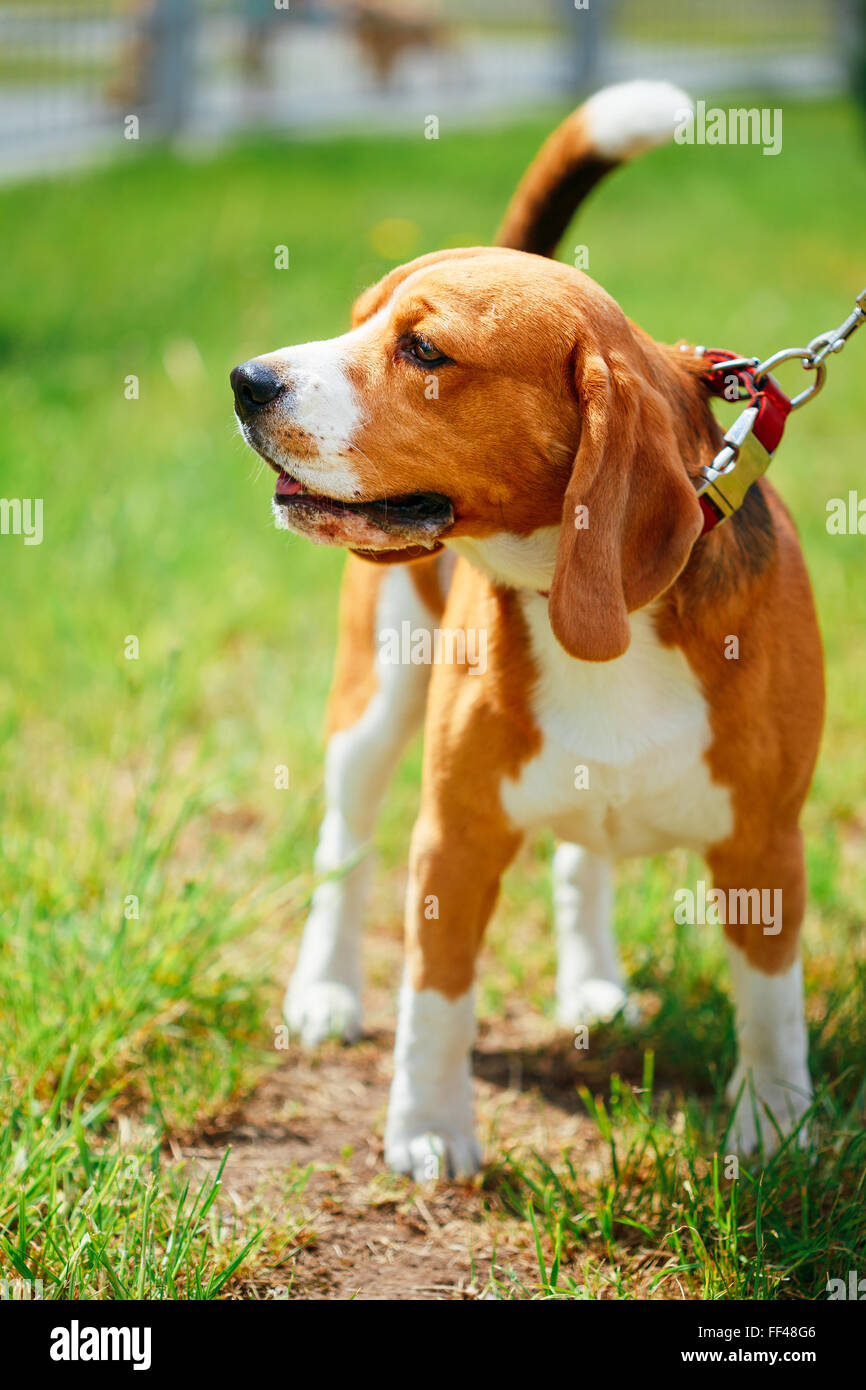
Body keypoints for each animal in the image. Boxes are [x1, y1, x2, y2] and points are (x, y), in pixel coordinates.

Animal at [232, 81, 828, 1178]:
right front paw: (428, 1130)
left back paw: (592, 982)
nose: (246, 381)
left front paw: (772, 1130)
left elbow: (770, 1008)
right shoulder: (456, 834)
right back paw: (325, 990)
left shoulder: (766, 841)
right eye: (355, 322)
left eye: (423, 350)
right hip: (371, 707)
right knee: (344, 848)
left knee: (580, 855)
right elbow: (435, 999)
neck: (595, 611)